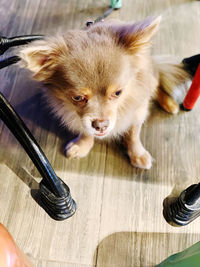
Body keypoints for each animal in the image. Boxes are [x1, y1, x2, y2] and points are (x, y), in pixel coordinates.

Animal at [19, 17, 191, 170]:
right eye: (77, 98)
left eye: (118, 93)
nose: (101, 125)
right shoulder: (81, 118)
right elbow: (86, 131)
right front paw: (82, 145)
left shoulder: (137, 113)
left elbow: (133, 135)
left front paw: (137, 154)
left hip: (152, 79)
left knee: (157, 85)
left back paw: (169, 104)